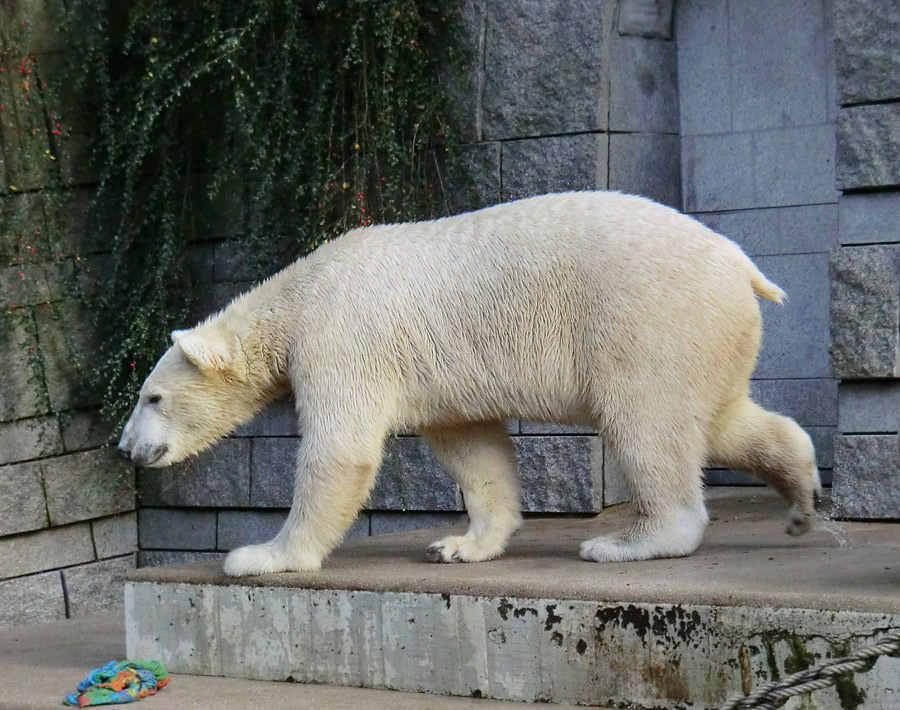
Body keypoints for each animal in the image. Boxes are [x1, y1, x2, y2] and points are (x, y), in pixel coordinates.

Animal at [118, 191, 824, 580]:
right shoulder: (436, 370)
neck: (295, 296)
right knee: (722, 419)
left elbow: (340, 451)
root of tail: (740, 264)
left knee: (646, 422)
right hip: (707, 332)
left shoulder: (340, 339)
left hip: (646, 318)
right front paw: (459, 545)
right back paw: (799, 496)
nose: (126, 447)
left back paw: (626, 543)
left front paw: (262, 554)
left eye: (152, 397)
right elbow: (471, 446)